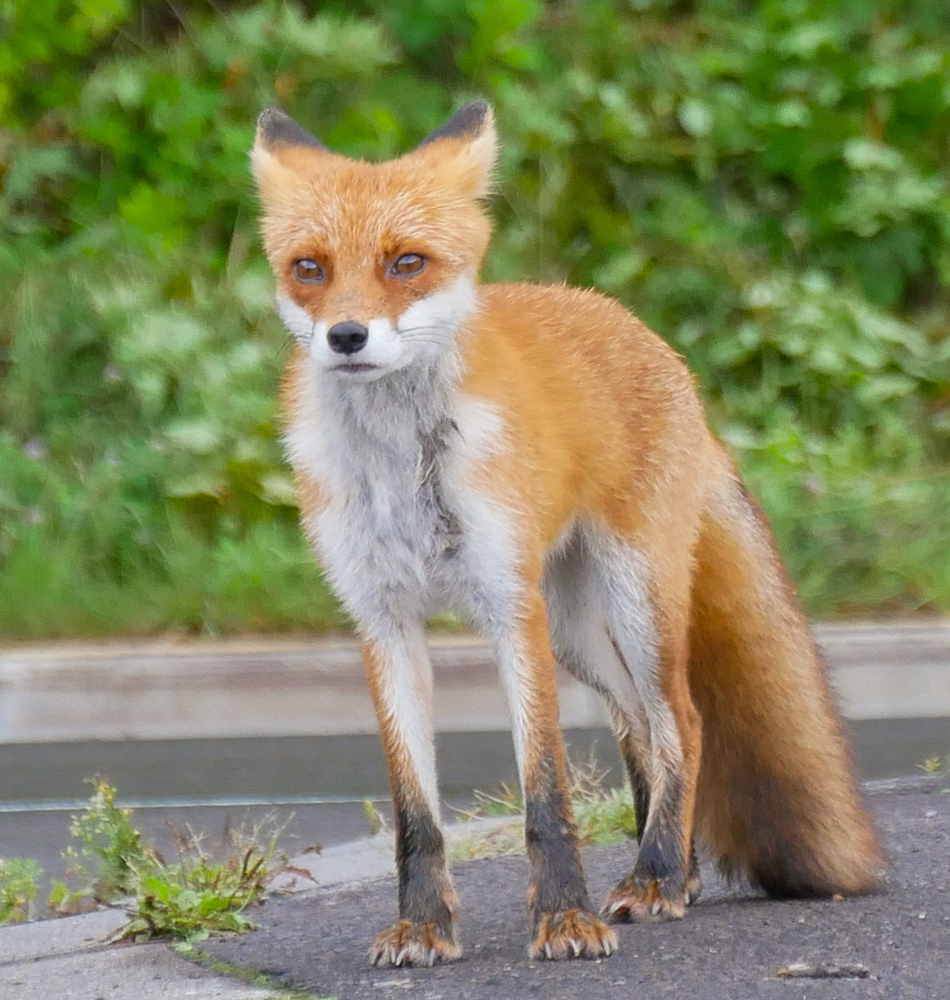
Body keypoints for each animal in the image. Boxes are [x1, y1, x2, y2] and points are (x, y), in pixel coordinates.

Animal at [251, 99, 884, 960]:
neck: (406, 468)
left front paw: (563, 918)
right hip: (580, 633)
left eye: (407, 263)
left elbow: (546, 795)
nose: (346, 336)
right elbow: (416, 814)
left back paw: (656, 876)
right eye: (309, 268)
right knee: (640, 727)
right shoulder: (381, 618)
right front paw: (423, 925)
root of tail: (651, 339)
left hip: (634, 602)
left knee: (683, 721)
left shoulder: (510, 607)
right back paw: (675, 871)